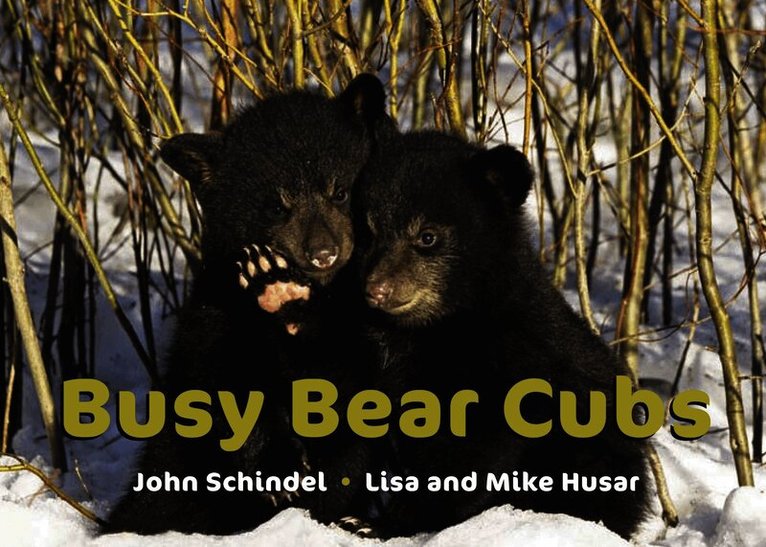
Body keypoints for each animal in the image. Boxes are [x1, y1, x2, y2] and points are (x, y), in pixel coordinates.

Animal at [104, 74, 393, 535]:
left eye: (340, 191)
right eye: (276, 205)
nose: (323, 252)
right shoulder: (219, 316)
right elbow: (223, 383)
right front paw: (278, 471)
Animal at [353, 130, 651, 539]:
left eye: (427, 236)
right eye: (369, 230)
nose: (377, 290)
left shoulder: (508, 367)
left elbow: (474, 453)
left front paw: (380, 523)